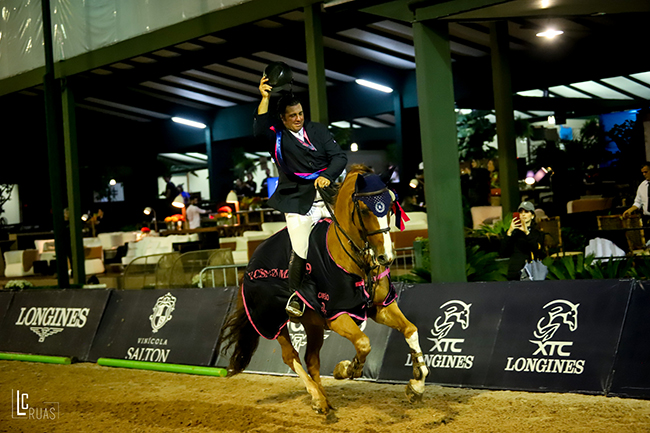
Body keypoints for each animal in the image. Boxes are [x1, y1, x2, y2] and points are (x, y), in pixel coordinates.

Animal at [218, 164, 428, 414]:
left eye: (390, 206)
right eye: (364, 209)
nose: (385, 258)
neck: (355, 260)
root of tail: (250, 263)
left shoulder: (381, 307)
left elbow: (410, 329)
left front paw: (416, 384)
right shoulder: (338, 314)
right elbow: (363, 343)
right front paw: (346, 368)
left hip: (313, 323)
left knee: (311, 359)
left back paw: (324, 398)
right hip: (272, 320)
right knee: (291, 356)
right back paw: (317, 397)